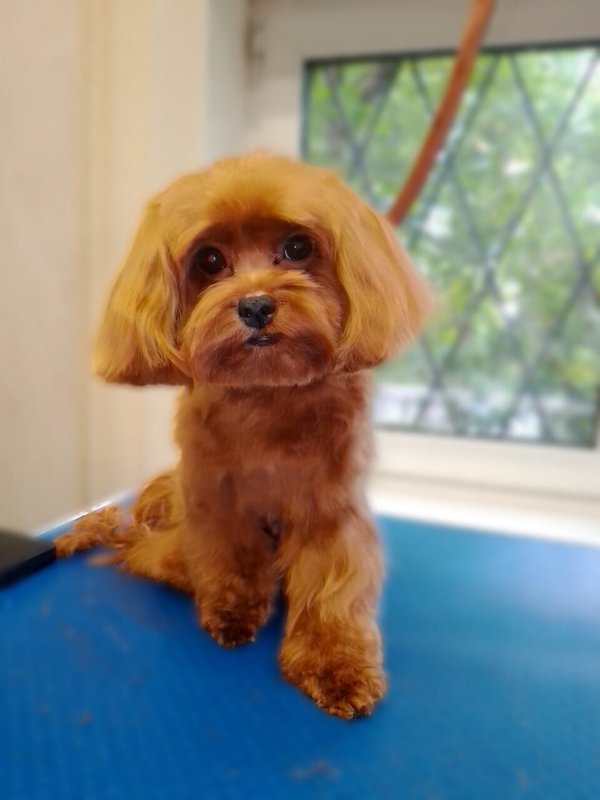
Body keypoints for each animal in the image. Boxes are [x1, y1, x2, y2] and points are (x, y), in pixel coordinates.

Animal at [56, 152, 429, 718]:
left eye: (296, 247)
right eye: (210, 260)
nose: (255, 305)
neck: (267, 393)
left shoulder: (329, 512)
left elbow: (330, 589)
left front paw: (335, 663)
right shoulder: (218, 500)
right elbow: (230, 556)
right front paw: (232, 610)